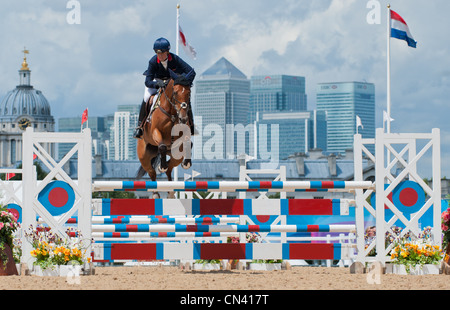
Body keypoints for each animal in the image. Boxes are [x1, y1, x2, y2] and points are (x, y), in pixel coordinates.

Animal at [136, 68, 194, 197]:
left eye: (189, 93)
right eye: (175, 92)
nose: (183, 118)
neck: (172, 112)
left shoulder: (183, 133)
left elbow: (189, 143)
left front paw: (186, 163)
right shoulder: (155, 132)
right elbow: (162, 146)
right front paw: (162, 166)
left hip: (176, 156)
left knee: (170, 169)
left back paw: (170, 191)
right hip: (144, 157)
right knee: (152, 172)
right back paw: (156, 192)